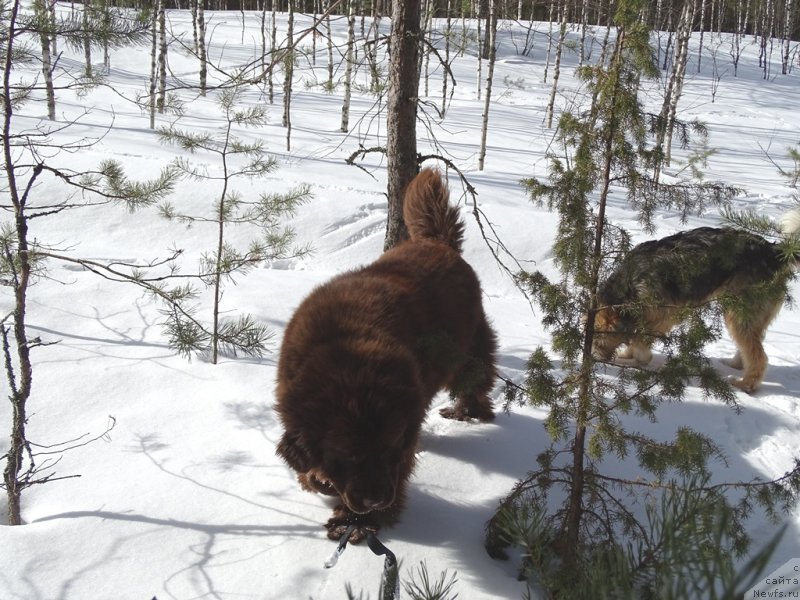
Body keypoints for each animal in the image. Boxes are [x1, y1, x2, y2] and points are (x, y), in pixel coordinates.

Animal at [276, 166, 500, 540]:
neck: (344, 352)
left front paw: (356, 523)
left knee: (477, 377)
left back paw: (468, 412)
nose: (376, 500)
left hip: (467, 348)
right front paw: (317, 480)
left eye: (388, 448)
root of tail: (437, 241)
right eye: (348, 456)